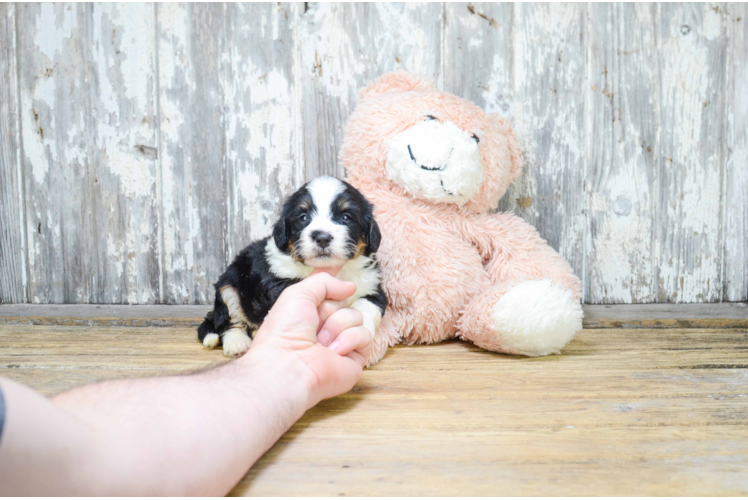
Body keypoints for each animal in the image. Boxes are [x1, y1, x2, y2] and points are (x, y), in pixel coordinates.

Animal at [199, 176, 386, 356]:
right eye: (303, 217)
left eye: (346, 217)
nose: (322, 237)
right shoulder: (277, 282)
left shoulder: (372, 285)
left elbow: (367, 305)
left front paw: (362, 329)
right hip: (229, 284)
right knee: (228, 321)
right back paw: (237, 342)